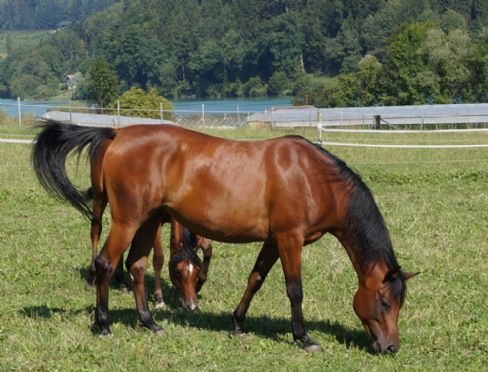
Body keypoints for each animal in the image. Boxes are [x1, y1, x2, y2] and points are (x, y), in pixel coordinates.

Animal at [32, 120, 418, 354]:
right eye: (385, 302)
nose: (391, 347)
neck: (313, 176)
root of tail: (116, 135)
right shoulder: (290, 239)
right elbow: (294, 289)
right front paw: (303, 336)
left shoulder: (273, 240)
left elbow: (255, 279)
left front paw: (237, 322)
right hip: (128, 220)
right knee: (106, 263)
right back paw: (103, 324)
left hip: (149, 220)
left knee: (138, 265)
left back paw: (149, 321)